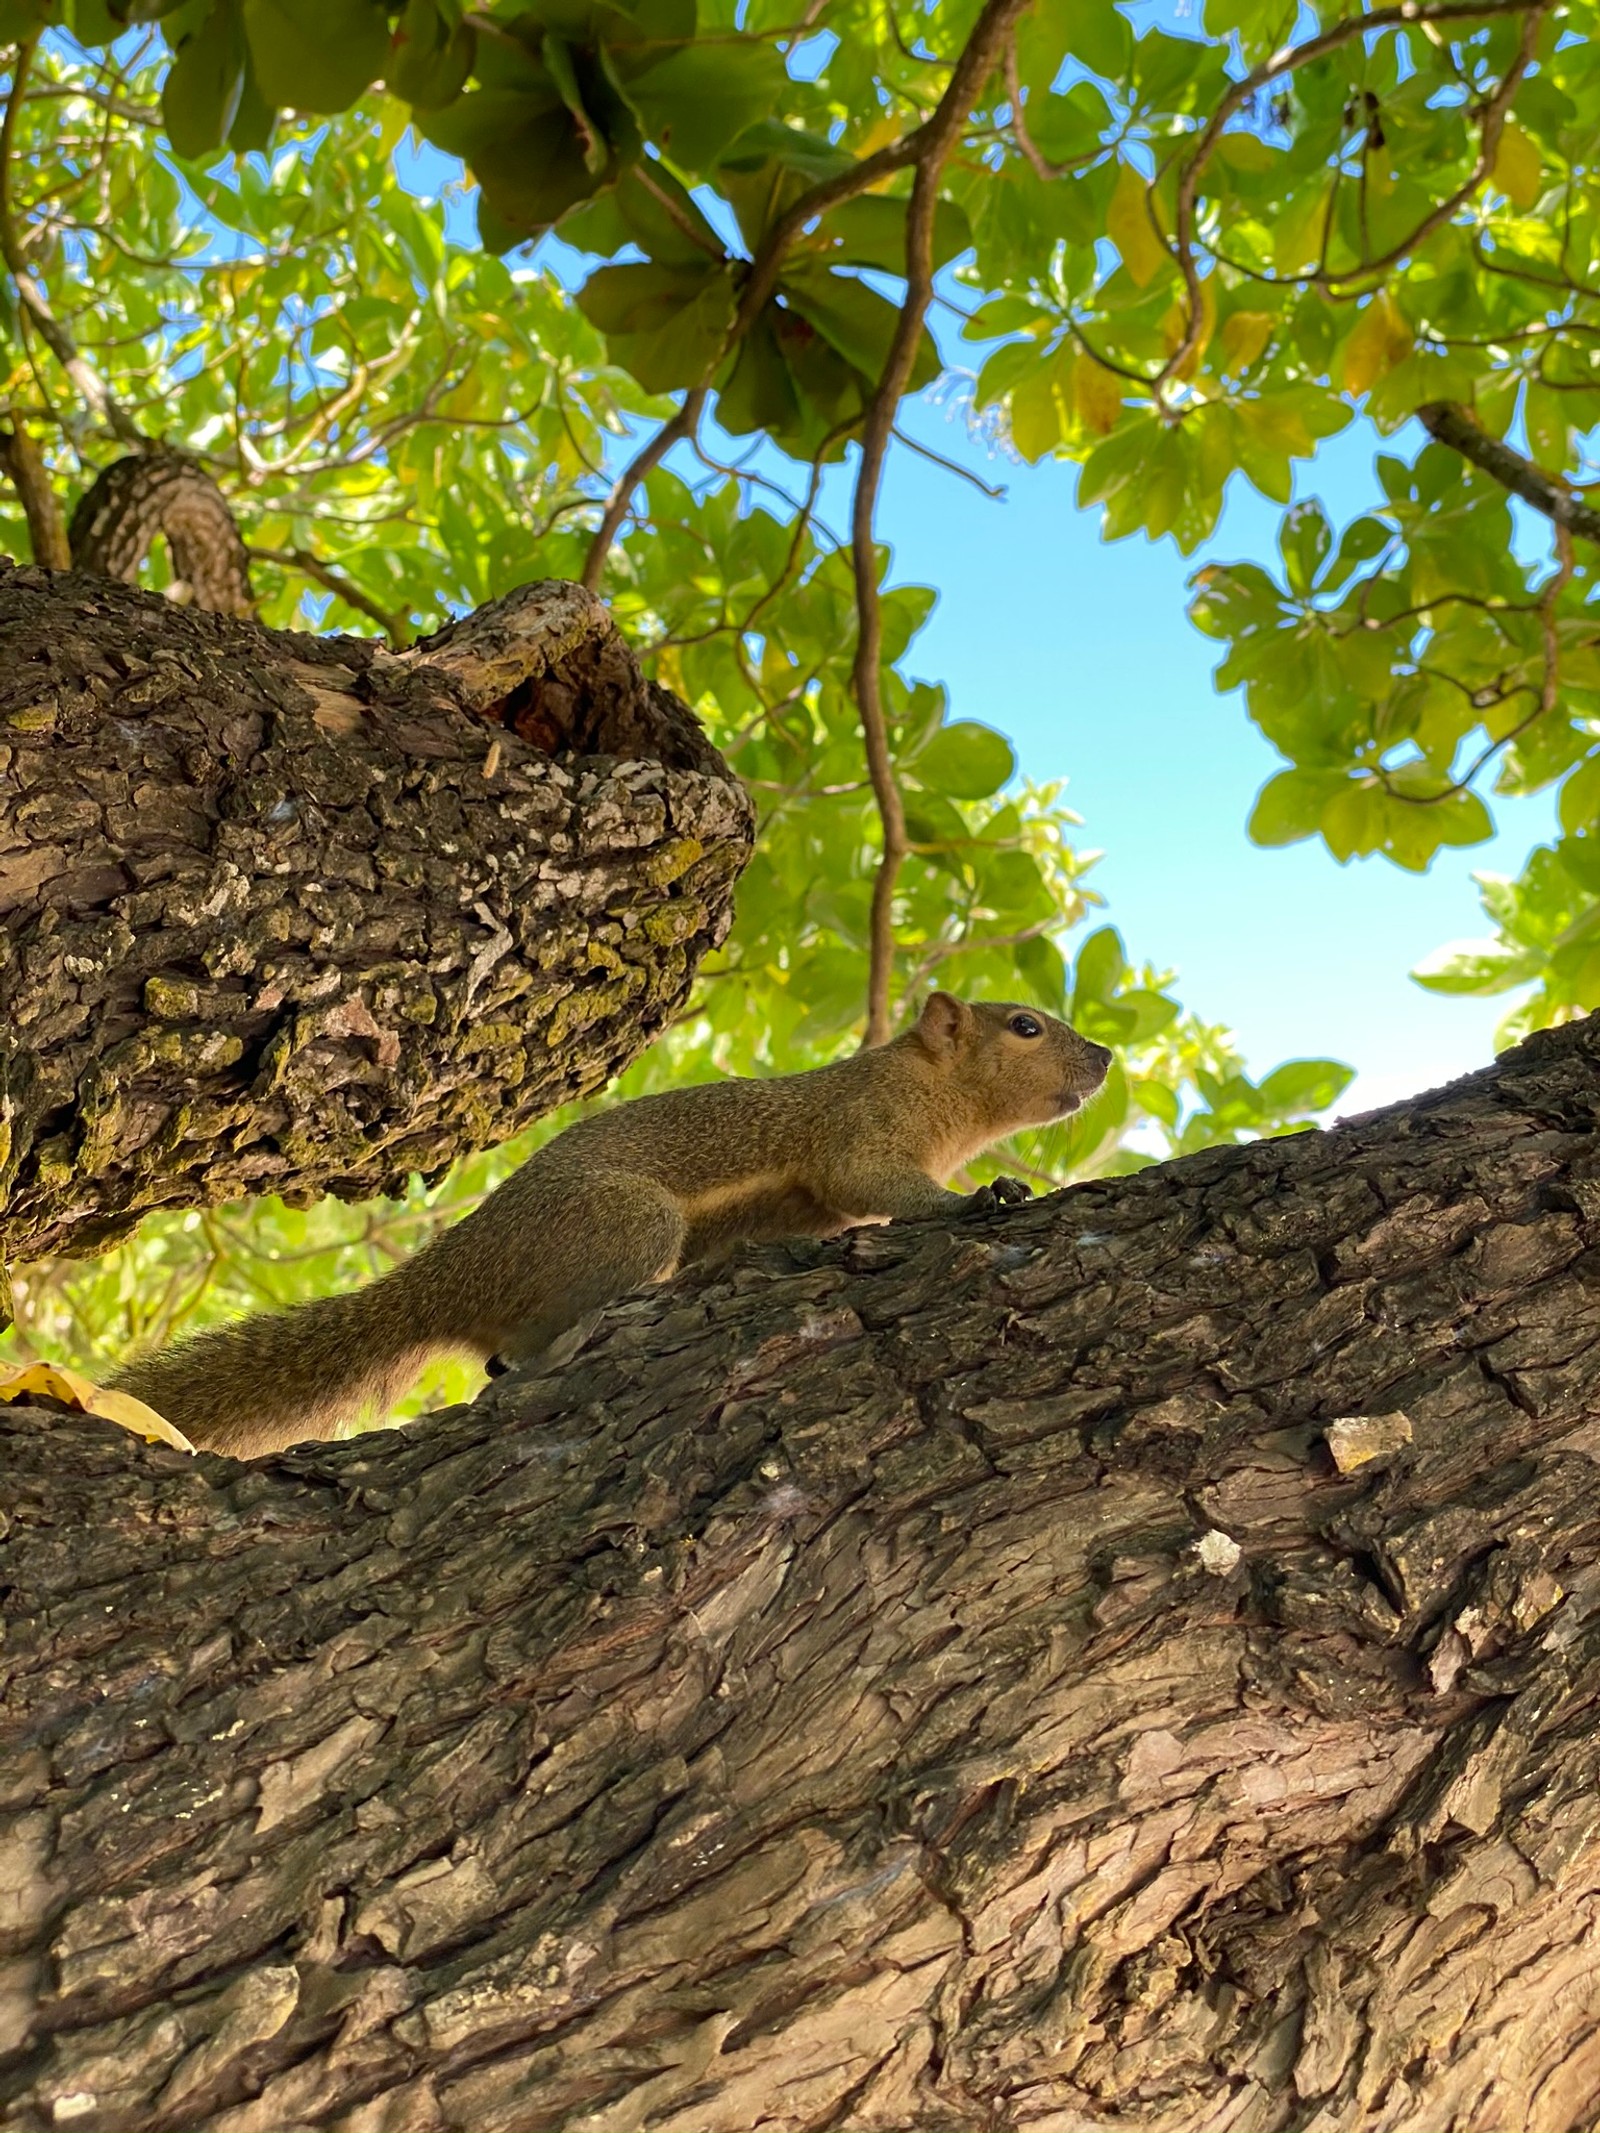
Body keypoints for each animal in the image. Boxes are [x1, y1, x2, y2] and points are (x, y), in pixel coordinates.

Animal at [115, 989, 1117, 1458]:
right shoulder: (859, 1129)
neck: (940, 1096)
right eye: (1024, 1025)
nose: (1106, 1056)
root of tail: (447, 1274)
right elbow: (874, 1180)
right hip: (625, 1223)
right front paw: (979, 1198)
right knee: (523, 1355)